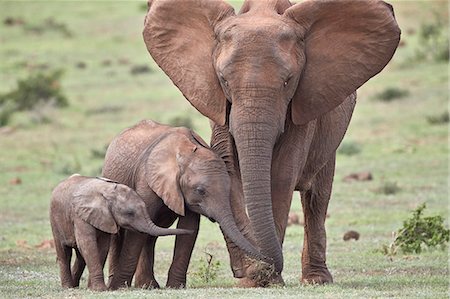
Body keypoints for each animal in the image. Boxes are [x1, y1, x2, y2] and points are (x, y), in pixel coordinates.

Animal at [50, 175, 192, 292]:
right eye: (130, 213)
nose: (190, 231)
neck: (107, 192)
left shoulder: (105, 218)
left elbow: (102, 247)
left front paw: (93, 288)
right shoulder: (80, 215)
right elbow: (87, 244)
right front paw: (100, 290)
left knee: (80, 256)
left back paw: (74, 286)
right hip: (54, 220)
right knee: (64, 253)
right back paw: (67, 287)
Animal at [103, 120, 268, 290]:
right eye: (200, 190)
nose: (266, 261)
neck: (185, 153)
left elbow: (189, 227)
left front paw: (175, 287)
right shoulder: (146, 179)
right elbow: (137, 231)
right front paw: (119, 287)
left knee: (151, 235)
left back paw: (148, 285)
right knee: (121, 234)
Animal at [142, 0, 400, 288]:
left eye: (288, 81)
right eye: (223, 80)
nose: (245, 270)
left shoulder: (301, 102)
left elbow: (281, 175)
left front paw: (267, 279)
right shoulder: (218, 104)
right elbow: (227, 168)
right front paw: (252, 278)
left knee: (317, 198)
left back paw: (317, 280)